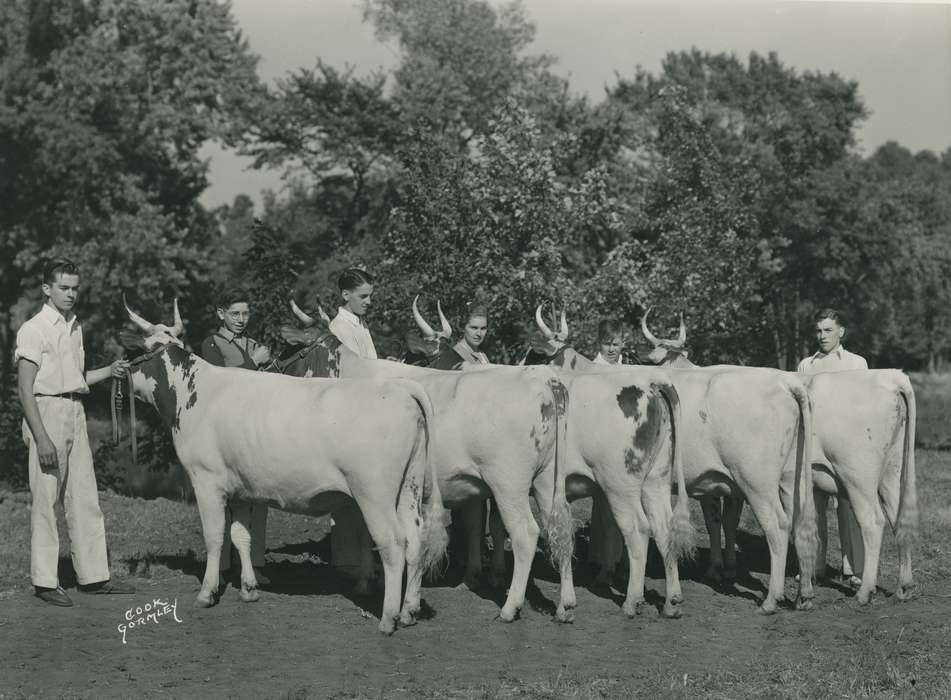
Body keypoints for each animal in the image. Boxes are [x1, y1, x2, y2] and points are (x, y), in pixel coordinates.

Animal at [121, 299, 448, 635]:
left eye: (134, 352)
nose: (120, 369)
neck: (193, 393)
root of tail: (402, 390)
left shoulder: (206, 480)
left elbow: (214, 536)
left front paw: (207, 593)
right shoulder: (241, 489)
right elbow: (242, 536)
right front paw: (249, 589)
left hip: (374, 493)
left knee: (393, 544)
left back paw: (388, 618)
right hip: (409, 487)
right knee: (415, 539)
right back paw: (409, 611)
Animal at [524, 306, 818, 614]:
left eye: (533, 356)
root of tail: (787, 383)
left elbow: (614, 527)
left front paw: (609, 575)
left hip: (755, 480)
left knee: (778, 526)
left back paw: (771, 599)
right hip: (790, 477)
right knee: (799, 522)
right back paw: (804, 595)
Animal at [642, 310, 919, 604]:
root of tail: (893, 378)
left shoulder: (711, 481)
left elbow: (715, 522)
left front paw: (716, 568)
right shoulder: (730, 485)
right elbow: (728, 522)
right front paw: (727, 567)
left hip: (857, 476)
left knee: (872, 522)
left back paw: (863, 590)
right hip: (891, 472)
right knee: (896, 517)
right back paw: (903, 586)